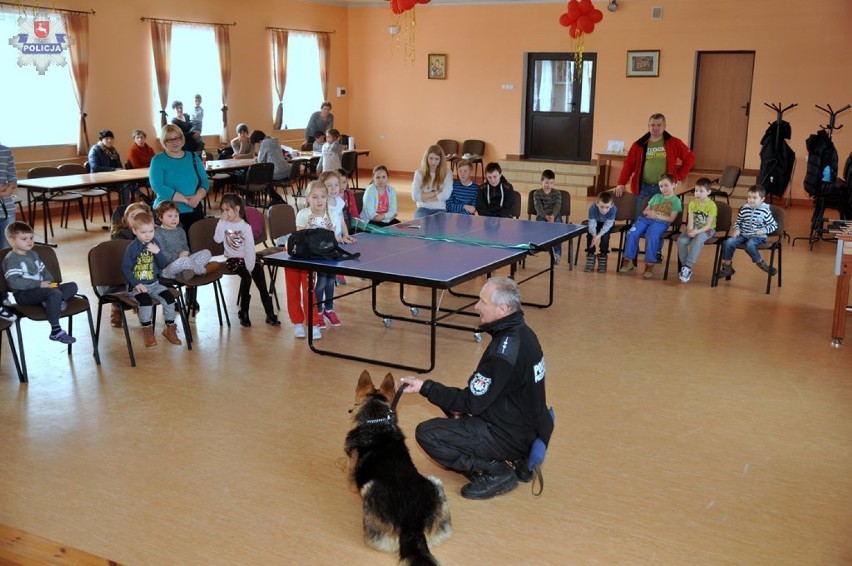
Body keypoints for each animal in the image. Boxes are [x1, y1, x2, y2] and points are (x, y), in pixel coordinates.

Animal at [344, 372, 456, 566]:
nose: (350, 411)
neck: (377, 422)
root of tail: (412, 524)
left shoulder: (353, 477)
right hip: (436, 485)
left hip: (369, 491)